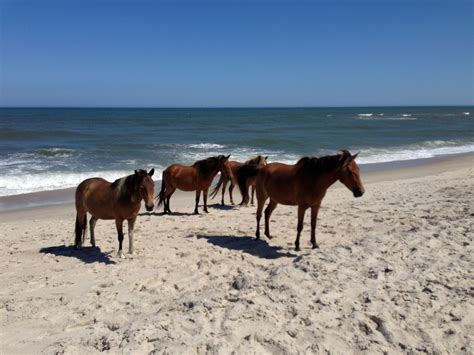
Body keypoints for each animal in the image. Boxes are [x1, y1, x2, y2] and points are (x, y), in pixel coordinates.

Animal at [235, 152, 364, 252]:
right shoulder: (302, 207)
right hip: (262, 197)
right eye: (350, 171)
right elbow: (300, 226)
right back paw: (257, 235)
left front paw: (314, 244)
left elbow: (313, 224)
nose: (361, 192)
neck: (314, 179)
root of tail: (262, 168)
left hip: (274, 200)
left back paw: (268, 234)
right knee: (259, 215)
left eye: (358, 169)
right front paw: (297, 246)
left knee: (267, 213)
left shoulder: (316, 206)